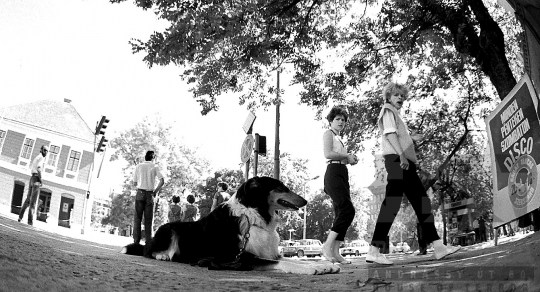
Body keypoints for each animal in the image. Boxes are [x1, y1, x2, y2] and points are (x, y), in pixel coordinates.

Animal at [122, 177, 340, 274]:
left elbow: (292, 259)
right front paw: (312, 269)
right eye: (280, 187)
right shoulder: (244, 257)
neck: (253, 216)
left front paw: (323, 264)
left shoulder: (270, 253)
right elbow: (284, 263)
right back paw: (162, 255)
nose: (305, 201)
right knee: (148, 251)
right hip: (170, 229)